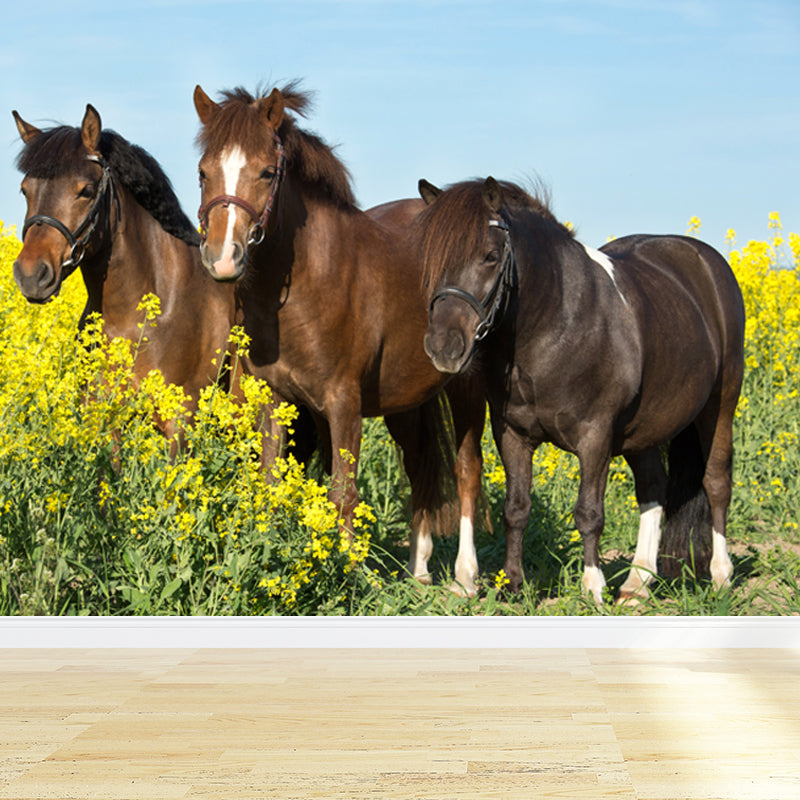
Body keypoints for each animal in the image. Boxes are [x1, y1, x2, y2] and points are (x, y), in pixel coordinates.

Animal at [192, 83, 487, 595]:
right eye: (203, 172)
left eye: (266, 172)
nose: (222, 259)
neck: (310, 281)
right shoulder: (277, 400)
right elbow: (272, 482)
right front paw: (265, 557)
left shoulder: (343, 402)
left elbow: (343, 491)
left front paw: (346, 573)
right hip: (406, 401)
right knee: (420, 468)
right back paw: (419, 570)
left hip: (466, 389)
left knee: (466, 471)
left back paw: (465, 578)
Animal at [419, 177, 745, 604]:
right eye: (430, 260)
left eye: (490, 256)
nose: (443, 347)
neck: (557, 324)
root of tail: (707, 262)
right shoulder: (513, 435)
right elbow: (515, 508)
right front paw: (512, 584)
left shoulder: (595, 436)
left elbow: (589, 513)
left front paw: (592, 587)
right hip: (644, 428)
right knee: (653, 487)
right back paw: (638, 583)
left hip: (720, 404)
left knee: (716, 482)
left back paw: (721, 576)